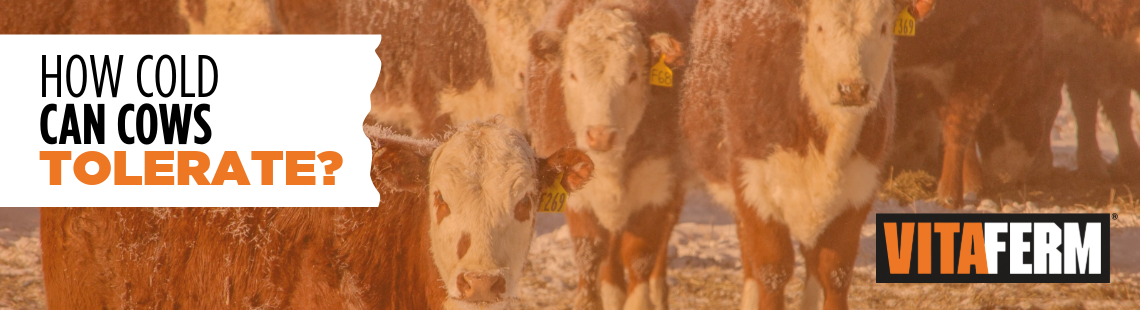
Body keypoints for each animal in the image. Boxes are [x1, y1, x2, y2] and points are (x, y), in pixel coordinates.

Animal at [522, 0, 688, 307]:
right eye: (572, 74)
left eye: (634, 75)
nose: (600, 135)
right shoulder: (576, 194)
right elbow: (589, 253)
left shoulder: (658, 183)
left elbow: (640, 255)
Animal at [679, 0, 930, 307]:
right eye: (819, 27)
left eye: (883, 27)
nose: (853, 88)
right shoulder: (754, 186)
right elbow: (772, 271)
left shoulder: (859, 189)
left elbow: (835, 272)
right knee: (750, 257)